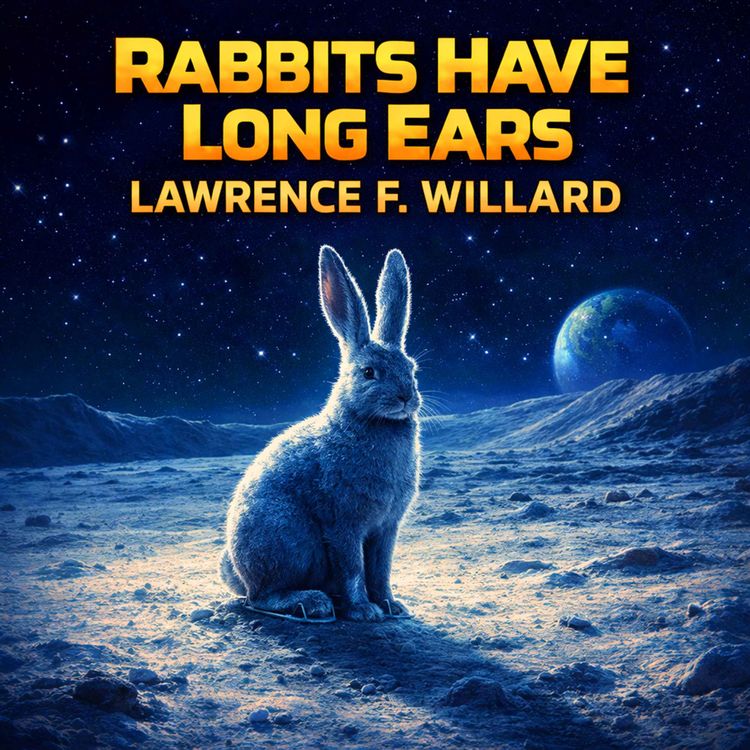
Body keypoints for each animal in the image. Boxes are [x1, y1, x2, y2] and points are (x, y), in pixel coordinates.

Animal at [219, 245, 421, 622]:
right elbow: (354, 568)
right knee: (259, 597)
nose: (405, 397)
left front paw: (392, 605)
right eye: (368, 372)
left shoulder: (386, 529)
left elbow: (380, 570)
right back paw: (312, 603)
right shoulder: (343, 525)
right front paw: (365, 611)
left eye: (412, 370)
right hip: (288, 539)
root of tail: (237, 571)